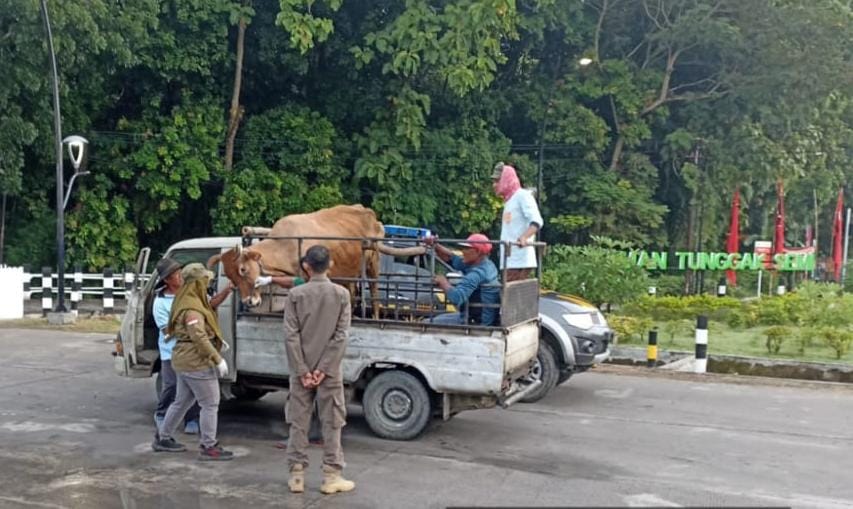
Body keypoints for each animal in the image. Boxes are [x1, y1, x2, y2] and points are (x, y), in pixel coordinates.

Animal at [207, 204, 426, 312]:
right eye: (231, 277)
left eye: (243, 269)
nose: (249, 302)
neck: (285, 244)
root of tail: (367, 212)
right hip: (348, 274)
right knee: (352, 294)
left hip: (373, 261)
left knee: (373, 293)